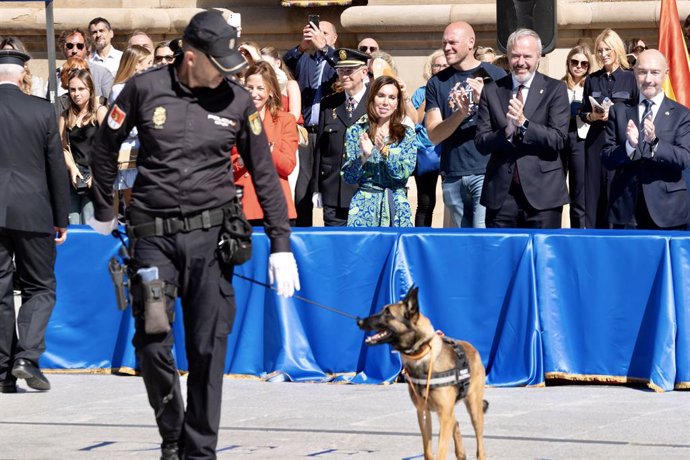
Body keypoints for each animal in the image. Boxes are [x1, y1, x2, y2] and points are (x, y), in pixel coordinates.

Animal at [358, 286, 486, 458]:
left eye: (388, 313)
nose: (359, 321)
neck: (421, 353)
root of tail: (472, 347)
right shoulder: (423, 413)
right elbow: (428, 451)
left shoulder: (443, 415)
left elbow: (441, 452)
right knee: (456, 423)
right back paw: (460, 453)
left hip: (473, 408)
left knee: (480, 443)